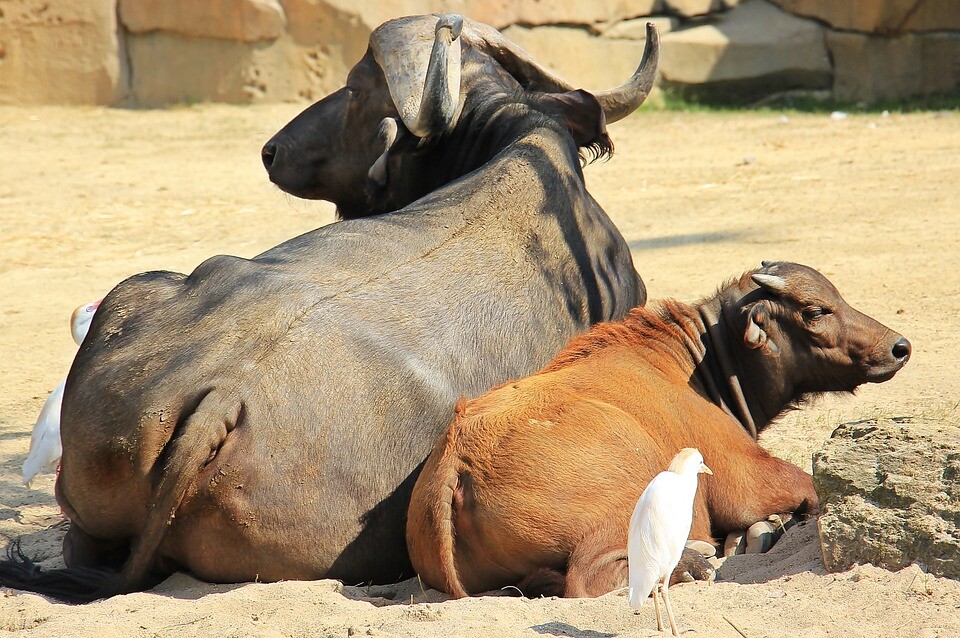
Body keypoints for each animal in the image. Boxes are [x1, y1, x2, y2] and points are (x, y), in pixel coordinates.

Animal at [406, 262, 911, 598]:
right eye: (815, 310)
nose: (898, 347)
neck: (693, 365)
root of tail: (459, 460)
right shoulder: (748, 477)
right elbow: (805, 487)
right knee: (588, 577)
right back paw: (691, 564)